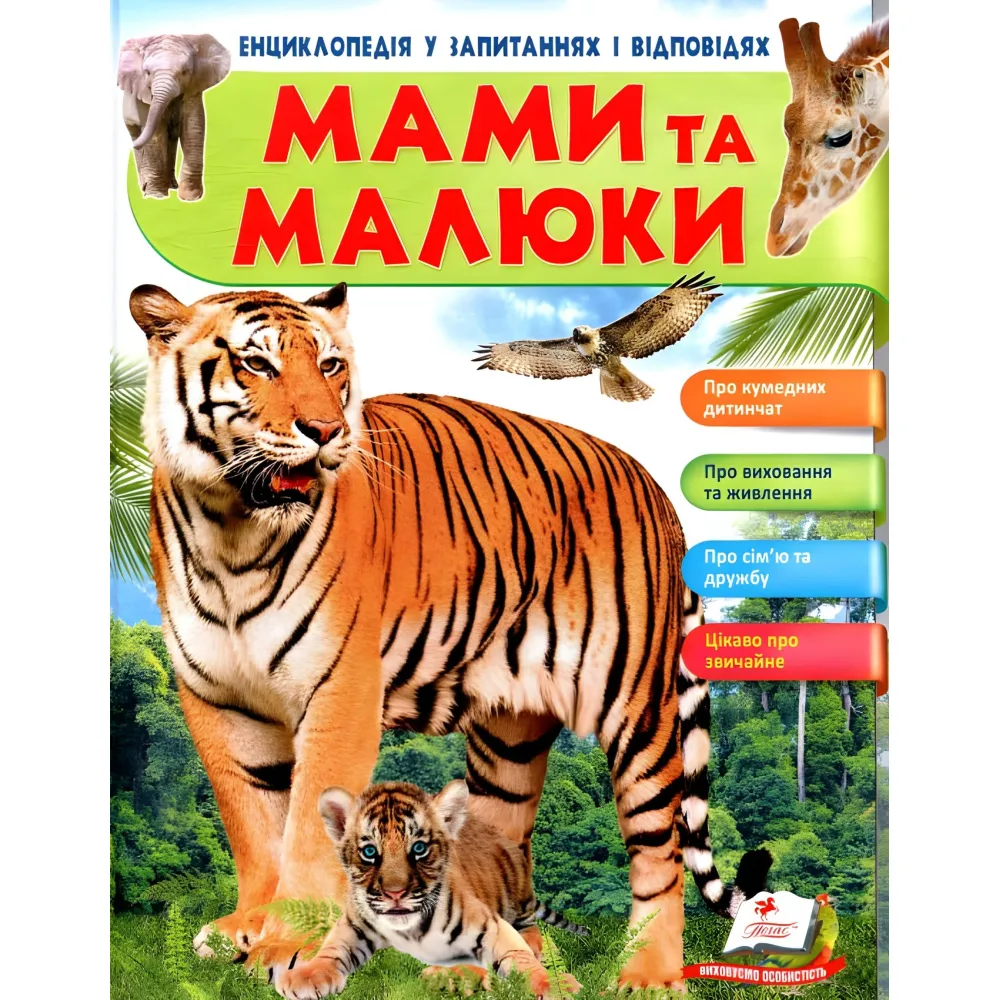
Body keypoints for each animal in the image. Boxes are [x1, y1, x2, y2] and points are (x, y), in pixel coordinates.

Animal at [276, 780, 584, 1000]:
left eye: (419, 848)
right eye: (370, 851)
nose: (395, 894)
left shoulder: (491, 926)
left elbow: (519, 957)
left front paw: (556, 984)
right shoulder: (353, 926)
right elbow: (331, 950)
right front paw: (304, 976)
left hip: (516, 893)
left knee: (529, 928)